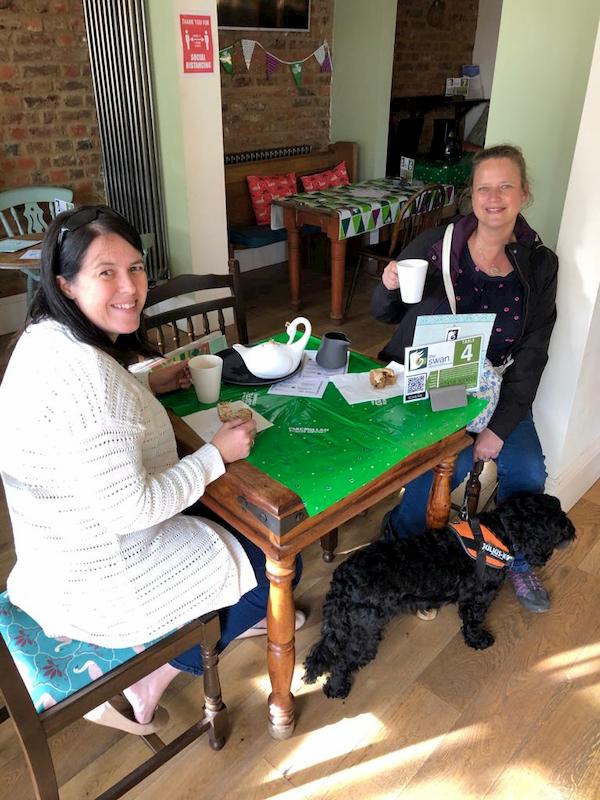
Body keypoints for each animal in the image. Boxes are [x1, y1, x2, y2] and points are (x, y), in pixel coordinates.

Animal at [304, 494, 576, 700]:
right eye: (559, 520)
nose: (573, 531)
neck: (499, 531)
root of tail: (343, 577)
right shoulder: (477, 598)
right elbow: (473, 622)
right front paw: (478, 641)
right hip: (366, 633)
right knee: (343, 661)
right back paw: (337, 689)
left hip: (341, 623)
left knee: (324, 649)